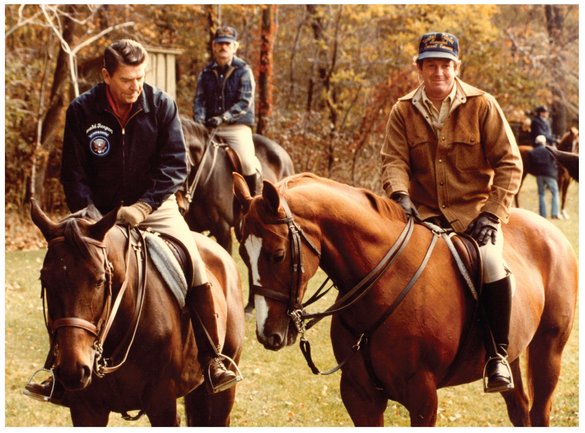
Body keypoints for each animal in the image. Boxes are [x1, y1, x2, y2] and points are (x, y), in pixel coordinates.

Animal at [232, 171, 576, 426]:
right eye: (243, 254)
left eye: (278, 255)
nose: (268, 334)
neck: (381, 285)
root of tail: (549, 230)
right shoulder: (360, 397)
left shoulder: (422, 397)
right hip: (514, 352)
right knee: (520, 409)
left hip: (548, 351)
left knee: (539, 410)